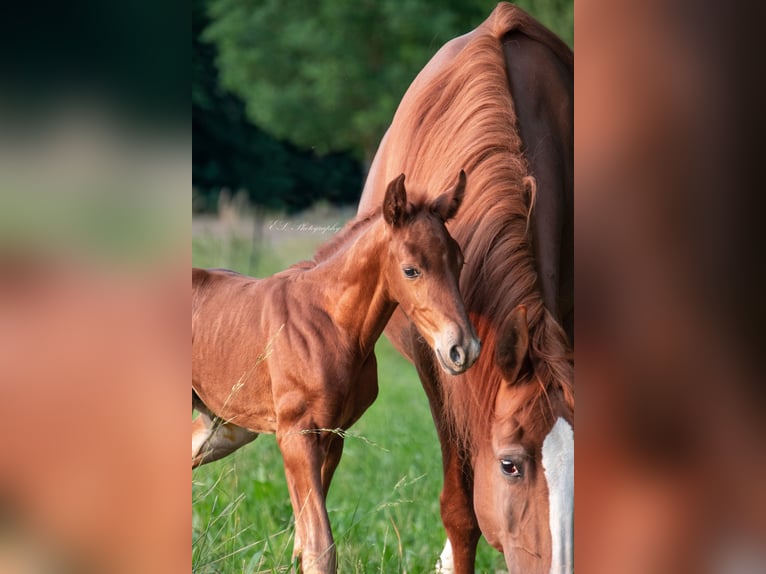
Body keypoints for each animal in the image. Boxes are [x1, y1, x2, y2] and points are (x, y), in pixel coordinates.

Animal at [192, 173, 480, 572]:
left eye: (459, 261)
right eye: (411, 269)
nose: (462, 349)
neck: (331, 322)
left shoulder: (332, 435)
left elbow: (302, 543)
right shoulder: (295, 435)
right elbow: (319, 546)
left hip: (222, 428)